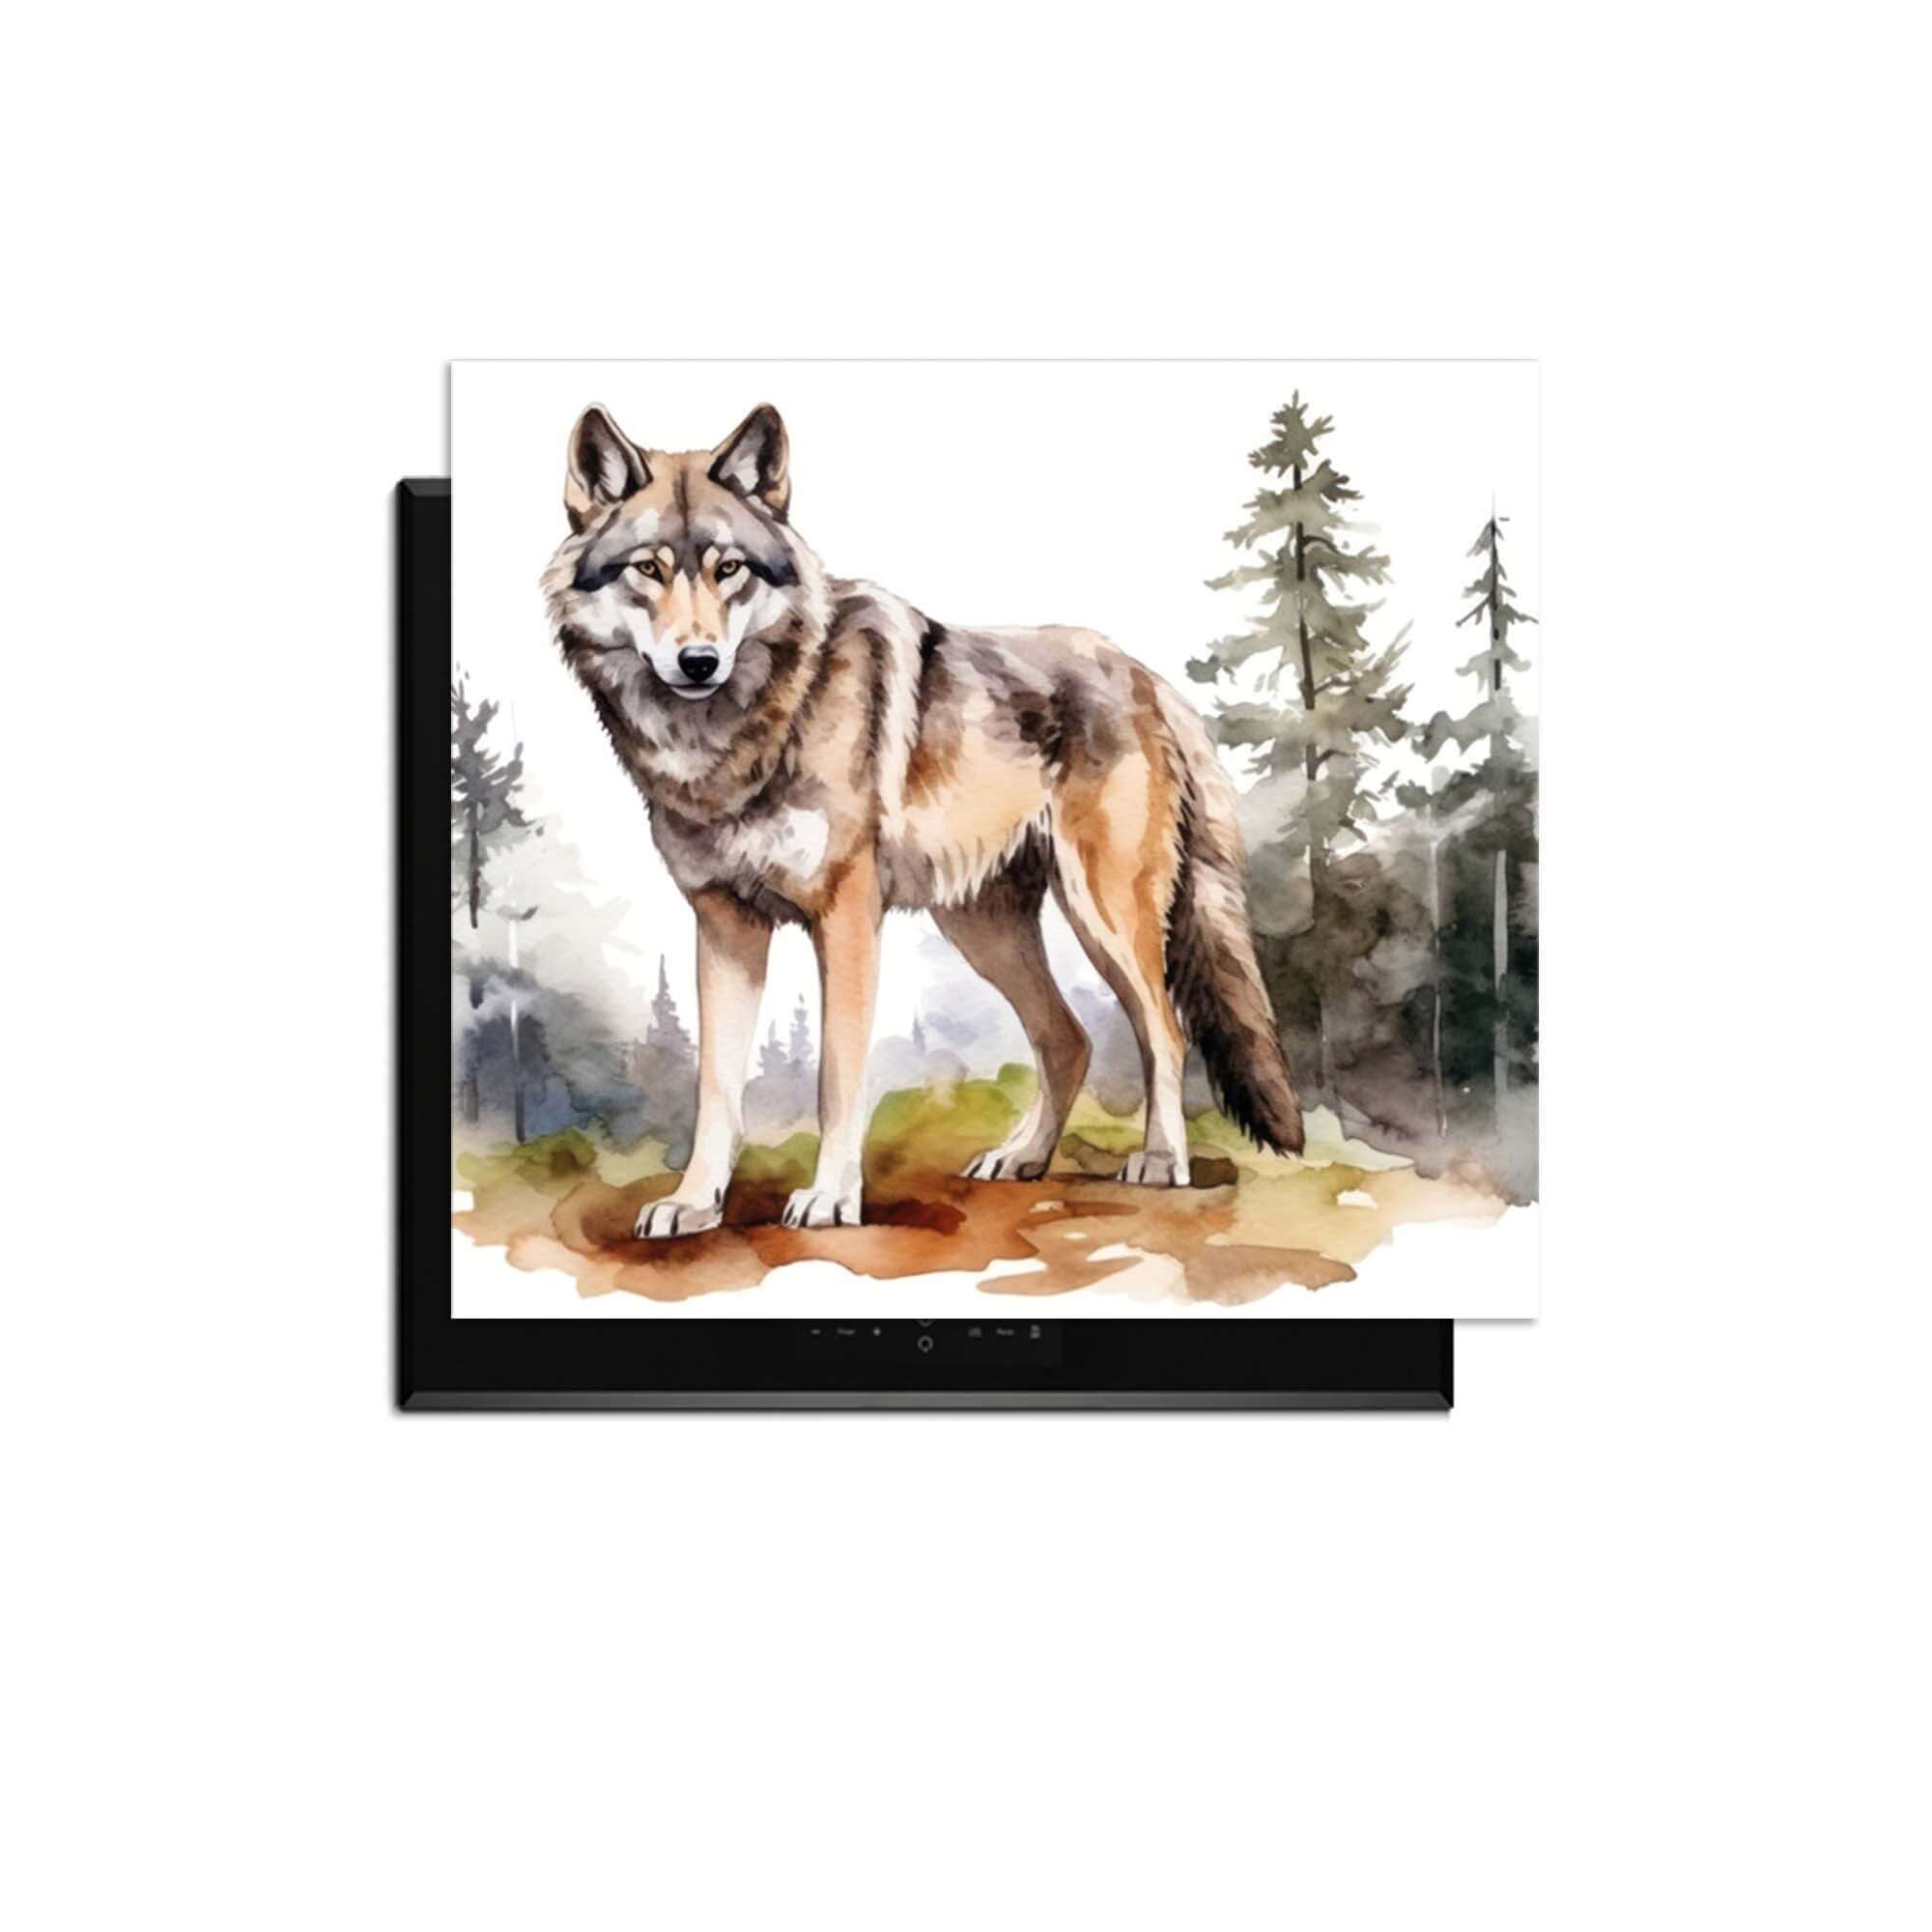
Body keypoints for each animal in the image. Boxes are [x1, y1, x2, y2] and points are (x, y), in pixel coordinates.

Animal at [543, 403, 1304, 1237]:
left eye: (729, 569)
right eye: (647, 569)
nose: (700, 661)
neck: (745, 731)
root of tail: (1148, 678)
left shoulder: (845, 918)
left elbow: (837, 1078)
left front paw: (831, 1198)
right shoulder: (723, 924)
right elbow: (716, 1087)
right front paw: (695, 1203)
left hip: (1102, 915)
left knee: (1163, 1030)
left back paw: (1162, 1161)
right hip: (982, 928)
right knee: (1066, 1038)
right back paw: (1021, 1157)